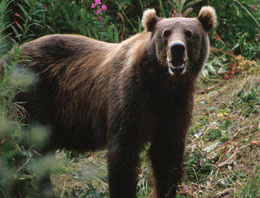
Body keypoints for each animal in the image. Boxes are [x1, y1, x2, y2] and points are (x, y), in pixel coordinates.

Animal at [1, 6, 217, 198]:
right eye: (166, 33)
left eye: (189, 33)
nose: (177, 49)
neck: (161, 82)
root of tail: (7, 58)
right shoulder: (130, 97)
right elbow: (122, 155)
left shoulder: (175, 105)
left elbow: (167, 154)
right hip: (29, 99)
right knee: (27, 153)